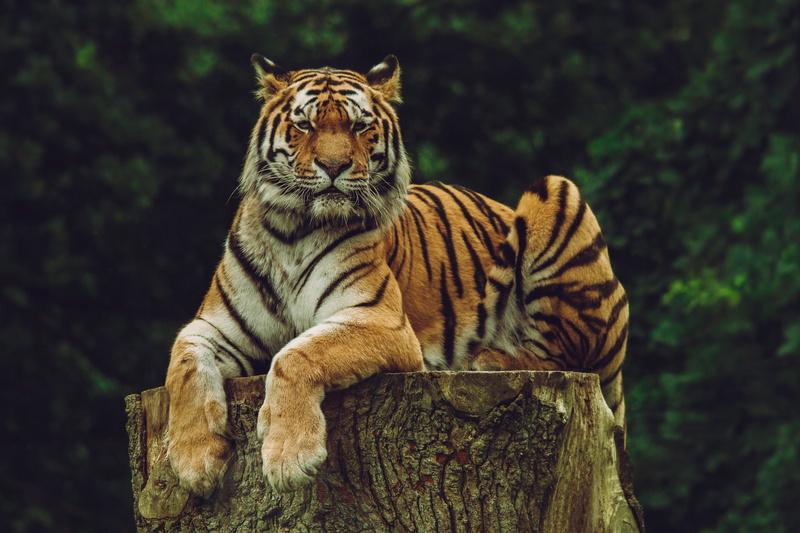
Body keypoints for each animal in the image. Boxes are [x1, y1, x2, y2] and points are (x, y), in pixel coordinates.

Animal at [165, 55, 629, 496]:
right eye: (304, 124)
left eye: (359, 126)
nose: (333, 165)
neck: (292, 231)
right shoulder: (214, 326)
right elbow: (183, 368)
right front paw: (194, 462)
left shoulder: (380, 319)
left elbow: (295, 355)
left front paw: (289, 458)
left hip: (557, 191)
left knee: (567, 355)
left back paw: (489, 358)